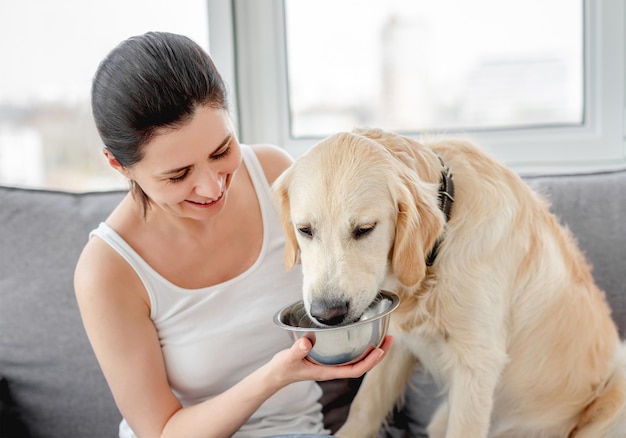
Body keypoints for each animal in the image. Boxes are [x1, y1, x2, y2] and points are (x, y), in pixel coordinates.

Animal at [274, 127, 626, 438]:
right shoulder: (399, 344)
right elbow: (365, 407)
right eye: (304, 230)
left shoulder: (477, 362)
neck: (439, 246)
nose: (327, 315)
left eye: (364, 229)